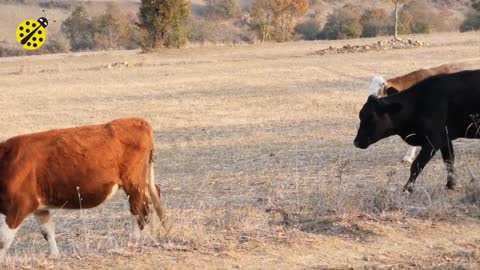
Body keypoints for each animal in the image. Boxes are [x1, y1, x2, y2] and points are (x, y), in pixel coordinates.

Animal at [0, 119, 167, 258]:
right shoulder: (40, 208)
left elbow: (4, 240)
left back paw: (133, 243)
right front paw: (54, 256)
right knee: (153, 196)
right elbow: (48, 232)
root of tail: (138, 121)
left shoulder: (19, 206)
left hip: (134, 184)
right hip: (142, 183)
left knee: (139, 211)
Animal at [352, 69, 480, 192]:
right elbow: (449, 162)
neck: (417, 103)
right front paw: (450, 185)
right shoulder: (446, 139)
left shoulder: (434, 140)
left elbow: (417, 165)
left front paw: (407, 189)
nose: (356, 142)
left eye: (372, 117)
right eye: (360, 116)